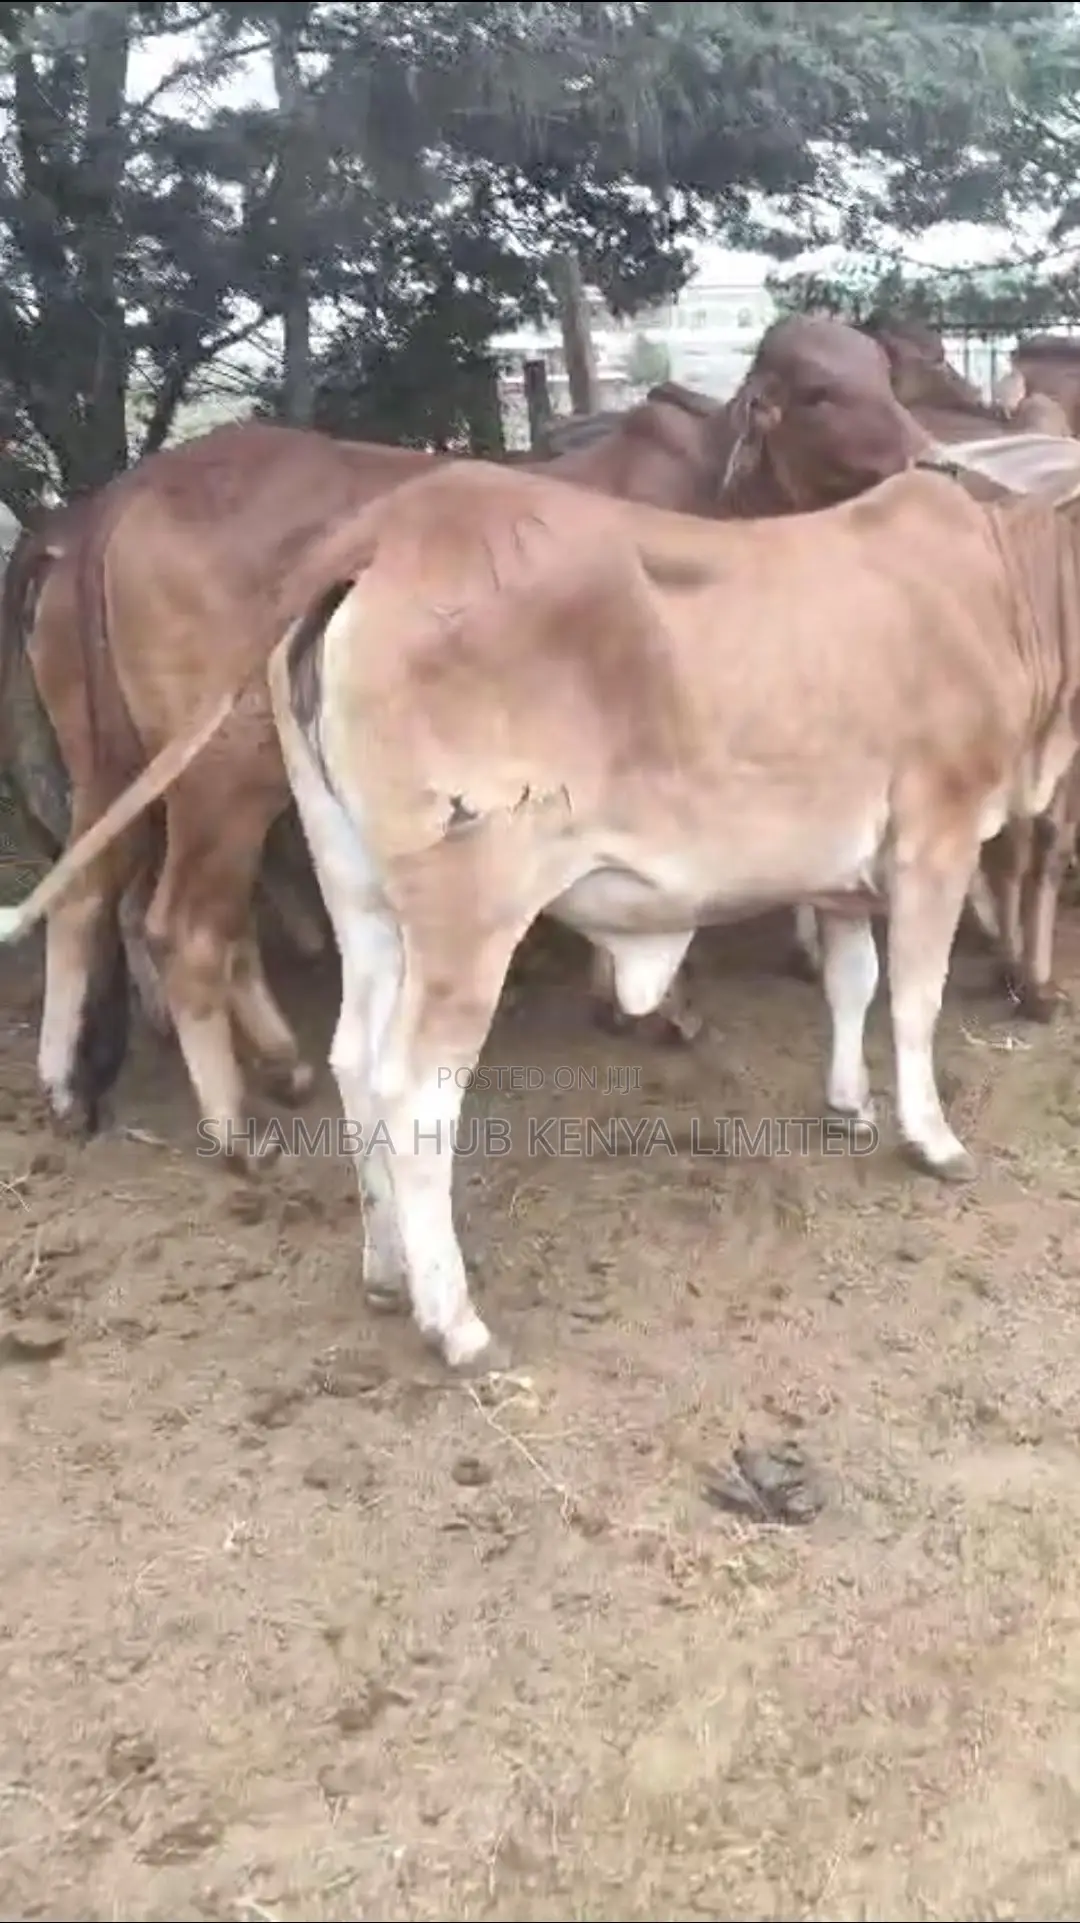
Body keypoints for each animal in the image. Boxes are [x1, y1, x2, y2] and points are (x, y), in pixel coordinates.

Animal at [1, 316, 930, 1164]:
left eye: (882, 374)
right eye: (818, 393)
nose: (926, 458)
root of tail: (123, 499)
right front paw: (660, 1005)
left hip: (118, 763)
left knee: (89, 896)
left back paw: (87, 1084)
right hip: (223, 771)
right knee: (186, 926)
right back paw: (235, 1125)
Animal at [7, 455, 1079, 1369]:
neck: (1007, 588)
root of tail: (389, 532)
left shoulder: (840, 871)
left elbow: (852, 982)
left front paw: (850, 1102)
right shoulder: (938, 830)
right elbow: (914, 997)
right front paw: (929, 1138)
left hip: (359, 890)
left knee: (353, 1059)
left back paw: (387, 1268)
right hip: (461, 904)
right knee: (408, 1084)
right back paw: (452, 1319)